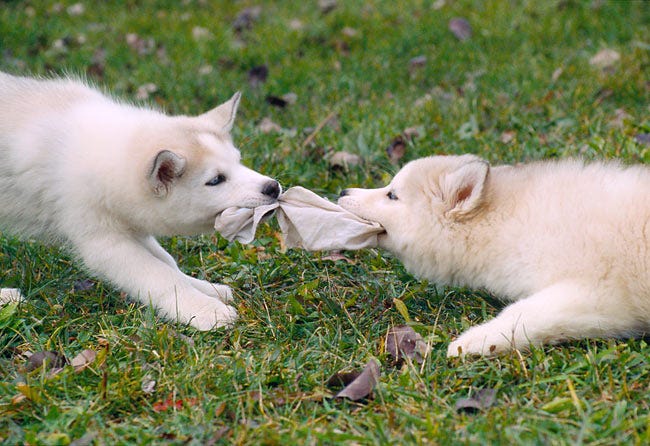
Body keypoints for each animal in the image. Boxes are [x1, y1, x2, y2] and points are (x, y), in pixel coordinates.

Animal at [0, 71, 278, 330]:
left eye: (238, 161)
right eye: (216, 180)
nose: (273, 187)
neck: (110, 153)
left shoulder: (132, 226)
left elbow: (168, 263)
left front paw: (206, 289)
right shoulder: (105, 243)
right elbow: (160, 276)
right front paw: (205, 310)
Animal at [336, 155, 648, 358]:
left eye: (392, 195)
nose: (343, 190)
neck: (510, 220)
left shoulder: (594, 294)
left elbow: (521, 314)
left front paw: (472, 342)